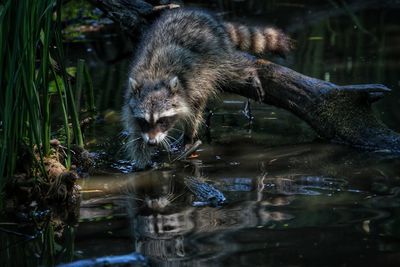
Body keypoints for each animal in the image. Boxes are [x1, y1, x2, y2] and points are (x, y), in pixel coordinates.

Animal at [120, 8, 292, 169]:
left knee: (232, 68)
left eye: (162, 120)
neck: (154, 76)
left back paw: (250, 72)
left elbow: (195, 111)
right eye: (144, 121)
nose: (152, 142)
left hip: (217, 51)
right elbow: (135, 134)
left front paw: (188, 138)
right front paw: (141, 161)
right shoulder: (131, 100)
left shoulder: (193, 83)